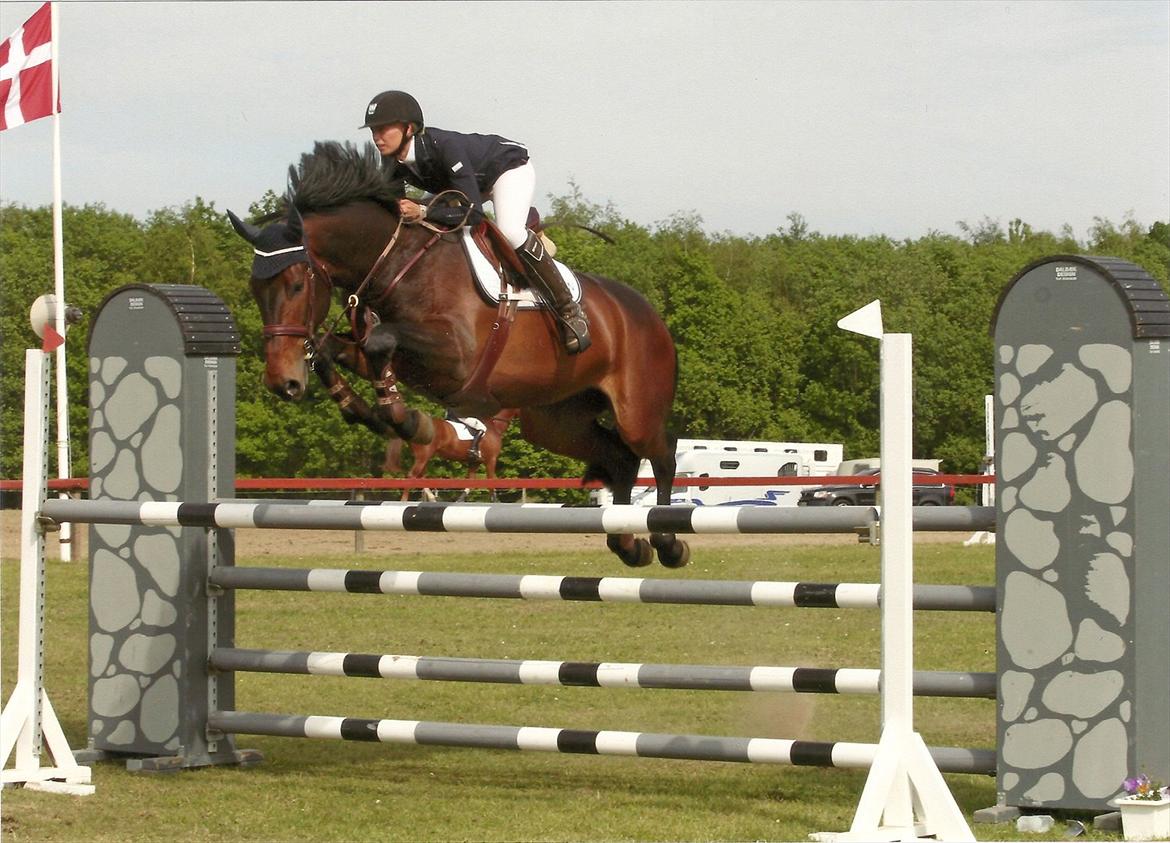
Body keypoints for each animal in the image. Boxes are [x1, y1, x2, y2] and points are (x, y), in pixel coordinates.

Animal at [383, 409, 517, 500]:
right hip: (423, 456)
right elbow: (491, 484)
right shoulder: (491, 459)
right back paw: (404, 500)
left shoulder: (475, 462)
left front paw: (459, 501)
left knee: (420, 476)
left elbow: (470, 482)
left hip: (424, 457)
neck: (494, 425)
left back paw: (432, 499)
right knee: (412, 475)